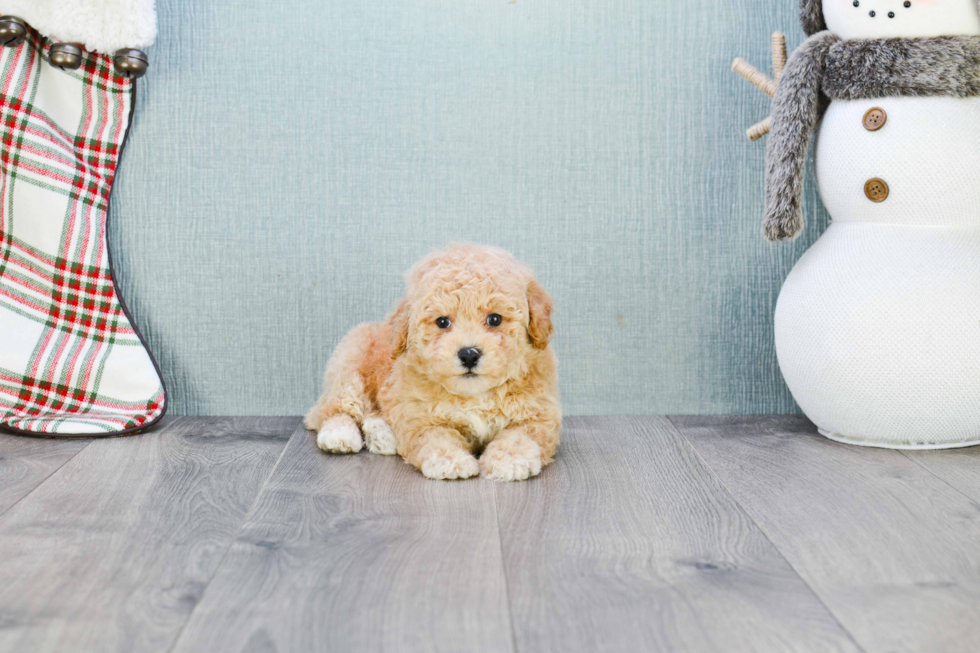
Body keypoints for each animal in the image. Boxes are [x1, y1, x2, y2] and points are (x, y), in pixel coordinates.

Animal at [310, 244, 564, 478]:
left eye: (495, 319)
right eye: (443, 322)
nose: (469, 354)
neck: (475, 395)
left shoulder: (538, 413)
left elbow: (522, 436)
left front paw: (509, 459)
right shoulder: (420, 417)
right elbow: (436, 438)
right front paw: (450, 461)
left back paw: (383, 436)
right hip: (349, 361)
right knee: (336, 408)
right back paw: (340, 434)